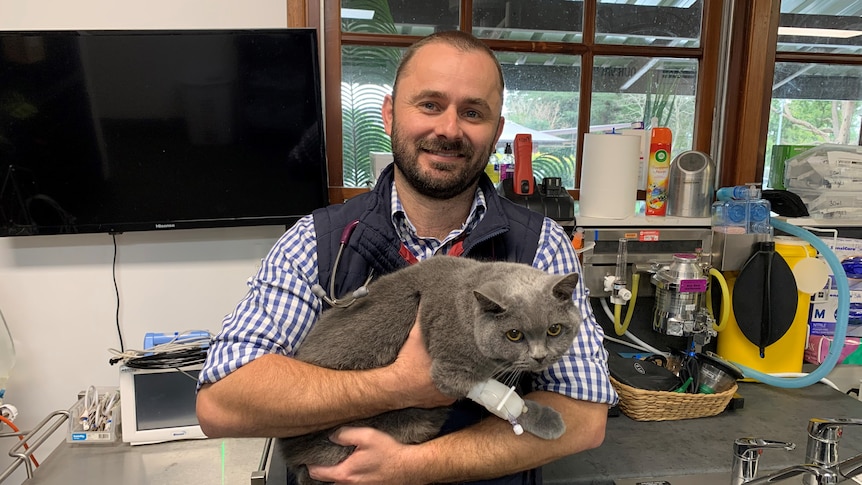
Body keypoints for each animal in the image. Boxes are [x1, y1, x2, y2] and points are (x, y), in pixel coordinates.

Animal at [280, 255, 584, 482]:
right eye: (514, 335)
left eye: (554, 329)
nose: (540, 357)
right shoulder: (451, 369)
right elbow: (497, 396)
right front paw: (537, 417)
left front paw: (540, 416)